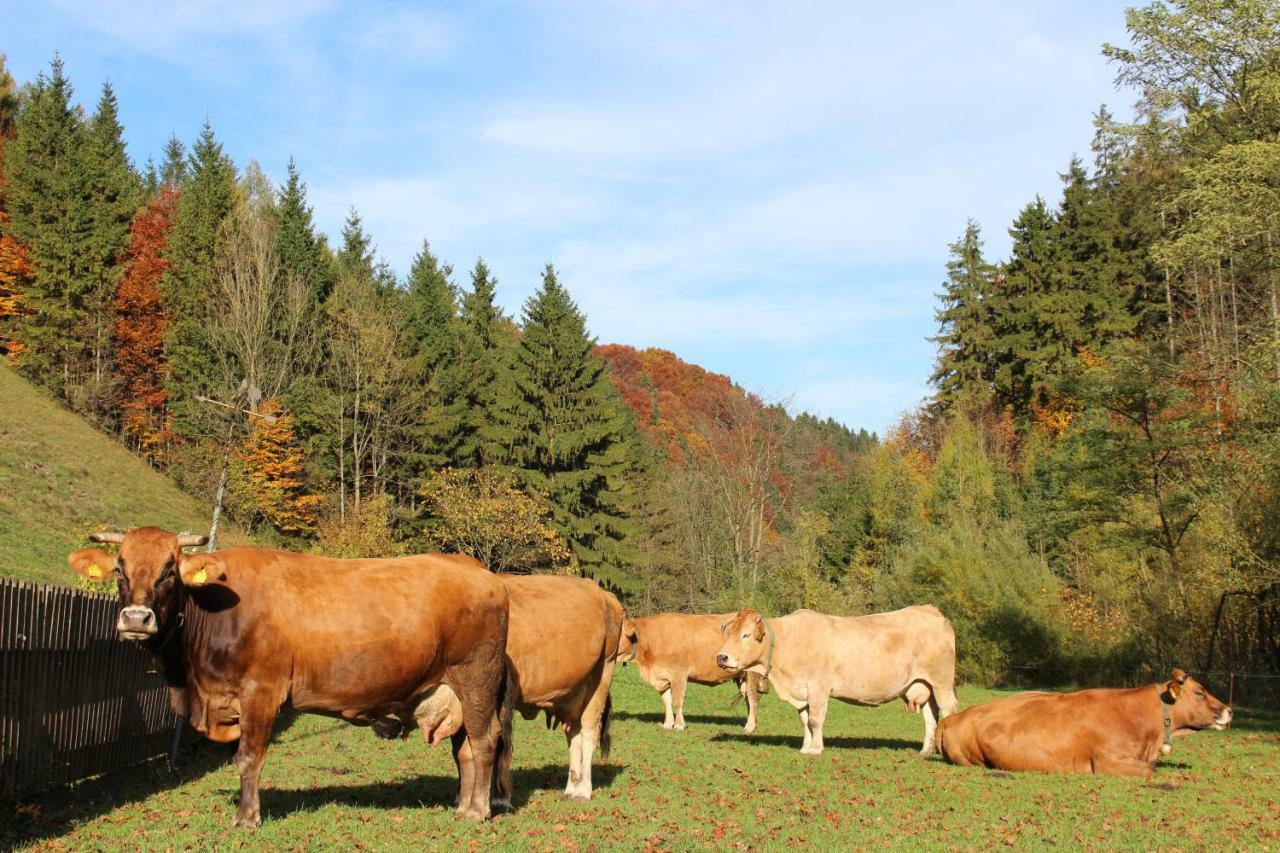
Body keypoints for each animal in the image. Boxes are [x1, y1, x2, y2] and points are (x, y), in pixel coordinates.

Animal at [70, 525, 506, 824]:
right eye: (120, 569)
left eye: (169, 571)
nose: (136, 618)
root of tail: (477, 569)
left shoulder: (261, 691)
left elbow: (249, 758)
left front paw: (247, 818)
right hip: (454, 691)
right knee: (465, 750)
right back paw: (463, 806)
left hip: (477, 680)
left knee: (485, 743)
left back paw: (478, 811)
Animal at [616, 612, 757, 732]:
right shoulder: (662, 677)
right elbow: (666, 701)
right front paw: (667, 724)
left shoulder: (678, 675)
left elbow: (677, 701)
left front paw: (679, 725)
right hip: (742, 677)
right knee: (748, 699)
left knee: (752, 698)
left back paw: (749, 727)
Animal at [716, 604, 957, 753]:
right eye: (728, 633)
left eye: (746, 635)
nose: (721, 657)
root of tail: (930, 610)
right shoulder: (802, 691)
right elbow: (805, 720)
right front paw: (805, 747)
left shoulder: (818, 688)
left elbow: (815, 720)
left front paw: (816, 749)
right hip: (923, 684)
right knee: (931, 717)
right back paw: (925, 751)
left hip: (942, 682)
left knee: (948, 711)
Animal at [936, 666, 1233, 778]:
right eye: (1200, 692)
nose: (1229, 710)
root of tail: (953, 718)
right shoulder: (1105, 760)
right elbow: (1150, 771)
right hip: (969, 759)